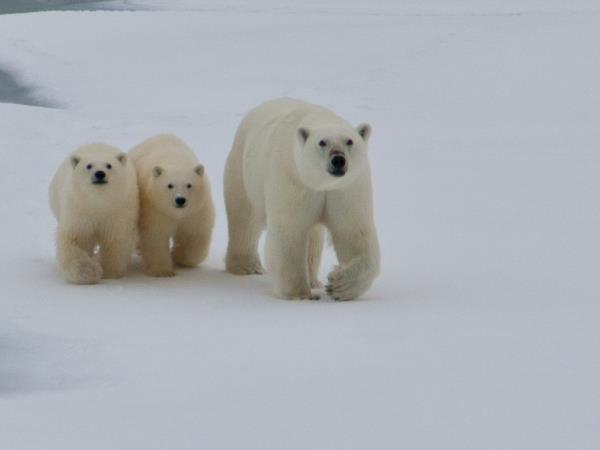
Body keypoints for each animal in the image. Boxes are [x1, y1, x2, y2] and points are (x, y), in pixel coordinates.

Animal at [225, 100, 380, 300]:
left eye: (350, 141)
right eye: (322, 142)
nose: (338, 160)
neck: (321, 183)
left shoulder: (346, 189)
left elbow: (353, 233)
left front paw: (339, 285)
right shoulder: (292, 179)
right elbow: (289, 231)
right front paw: (300, 295)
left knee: (314, 237)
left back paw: (314, 280)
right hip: (243, 173)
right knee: (244, 219)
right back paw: (246, 267)